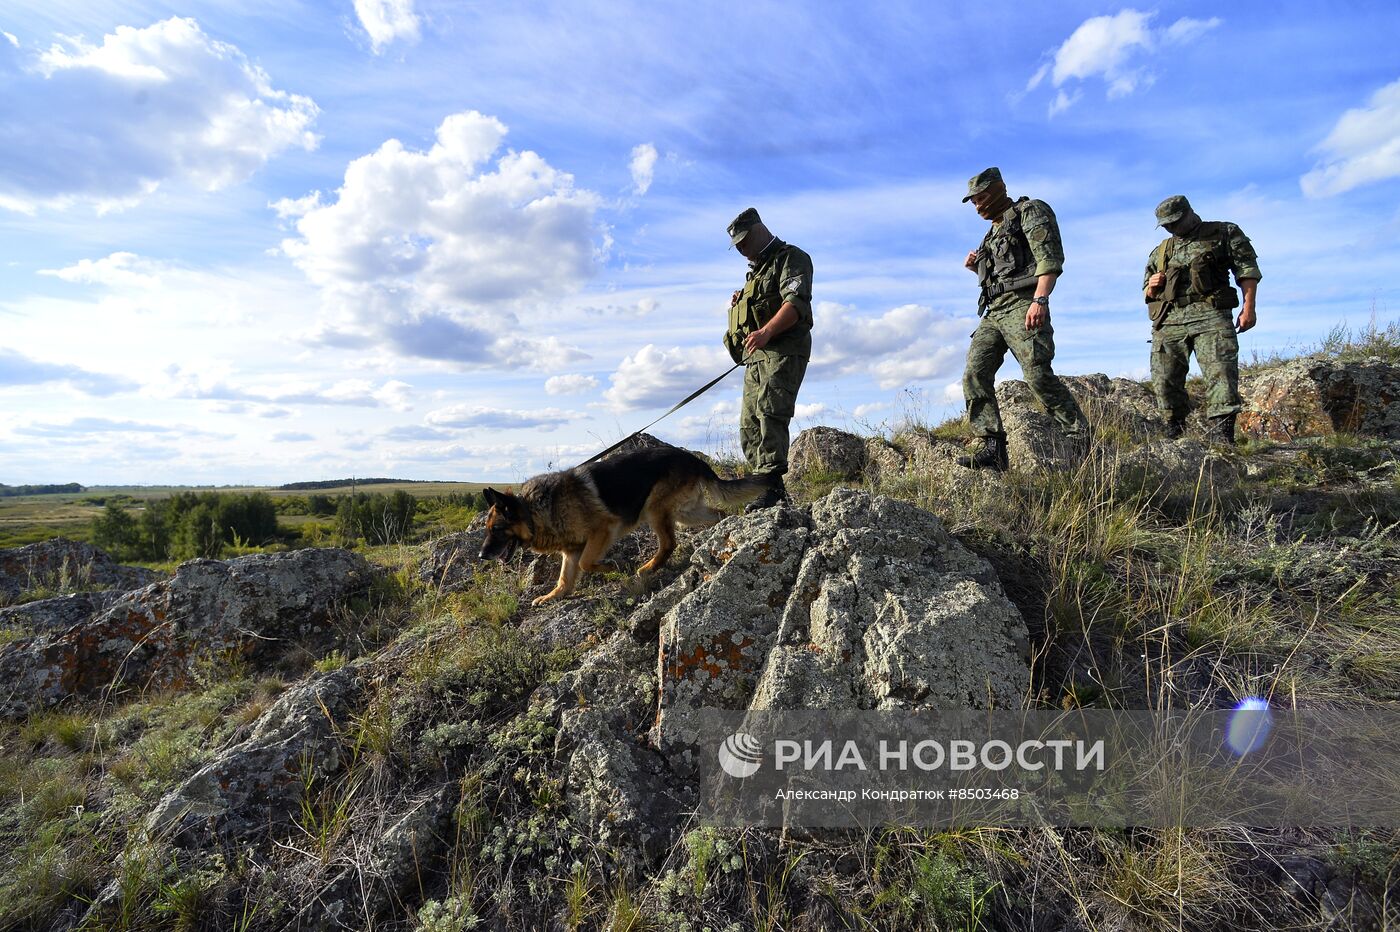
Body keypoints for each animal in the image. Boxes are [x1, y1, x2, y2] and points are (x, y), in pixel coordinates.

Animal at [478, 447, 767, 607]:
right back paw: (720, 531)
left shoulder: (602, 531)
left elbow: (586, 563)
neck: (534, 511)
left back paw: (648, 567)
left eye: (497, 529)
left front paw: (615, 567)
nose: (481, 555)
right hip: (685, 512)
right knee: (718, 514)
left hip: (655, 510)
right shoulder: (570, 551)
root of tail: (691, 458)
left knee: (669, 543)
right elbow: (565, 580)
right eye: (487, 529)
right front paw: (552, 597)